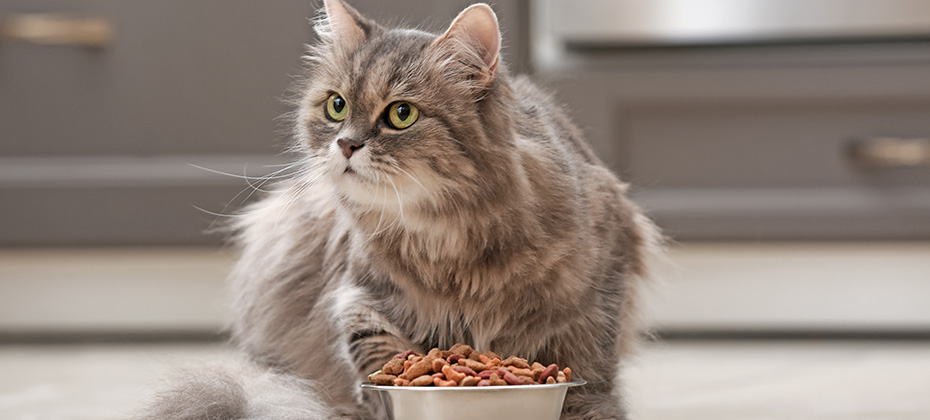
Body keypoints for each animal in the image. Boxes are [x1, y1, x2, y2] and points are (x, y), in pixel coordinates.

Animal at [138, 0, 660, 420]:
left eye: (401, 114)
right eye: (336, 106)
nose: (346, 144)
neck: (445, 235)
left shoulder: (600, 292)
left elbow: (592, 373)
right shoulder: (361, 302)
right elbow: (379, 368)